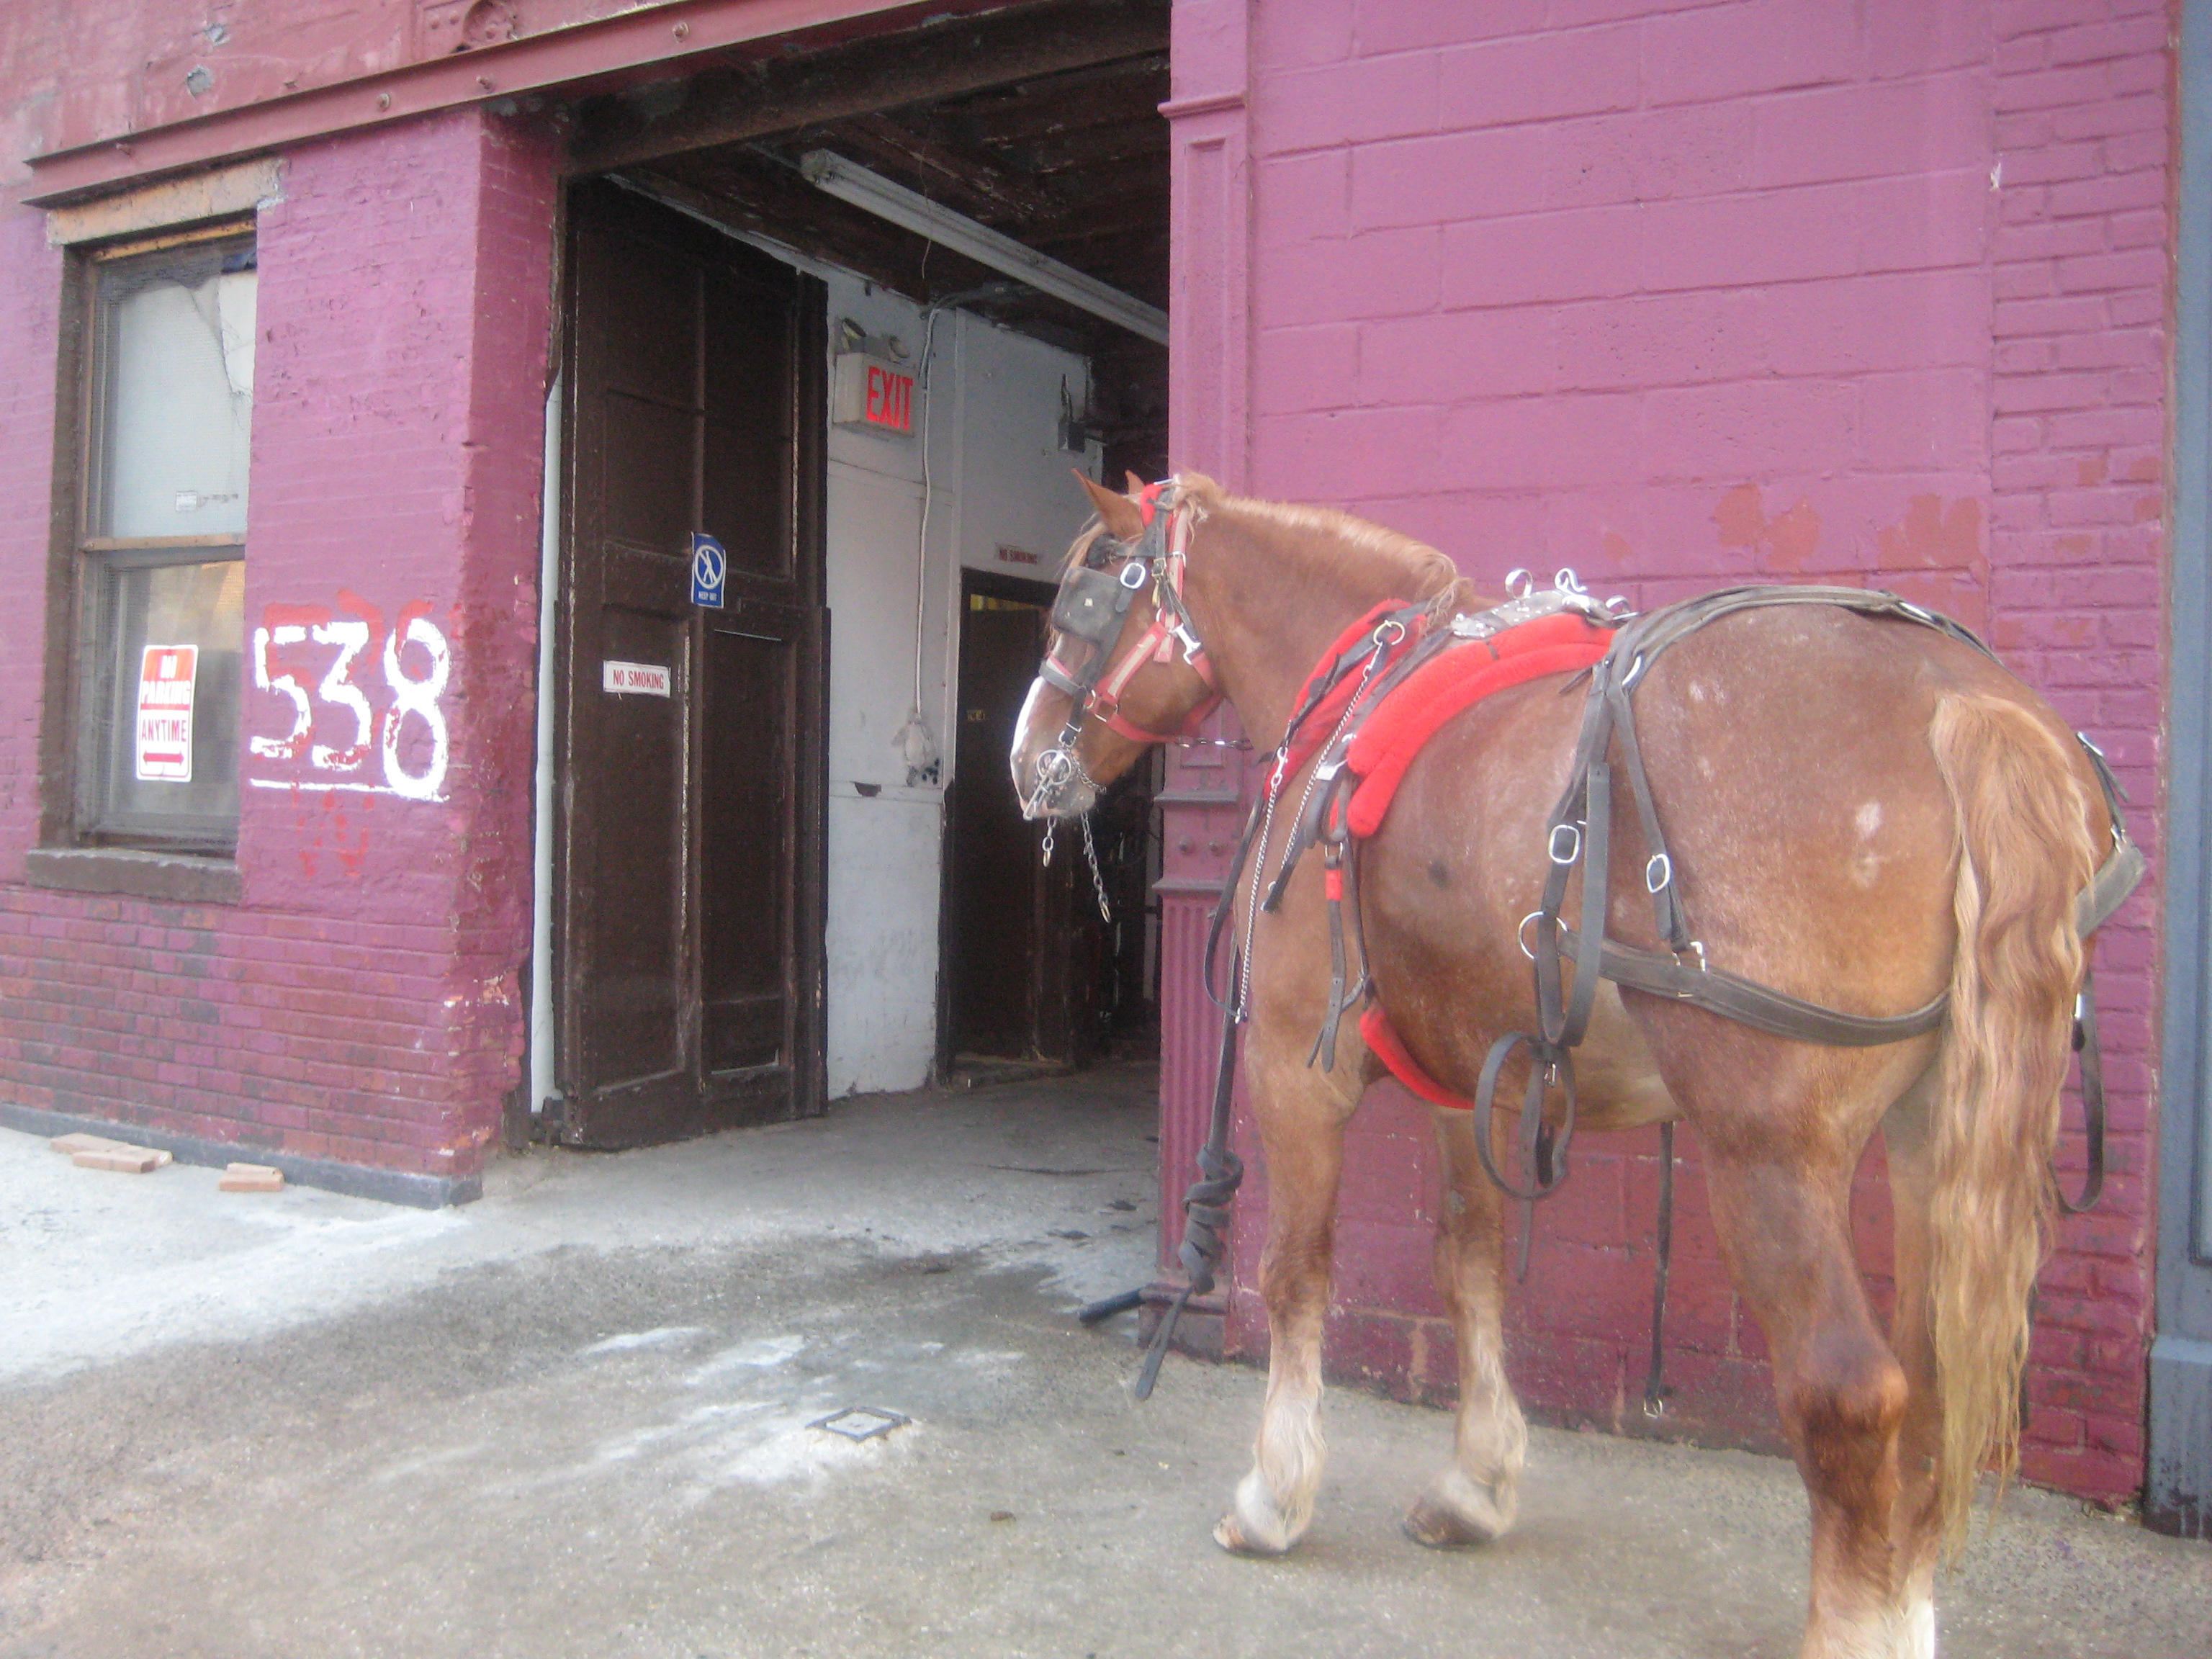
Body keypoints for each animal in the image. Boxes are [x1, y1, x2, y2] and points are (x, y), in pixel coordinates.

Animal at [1008, 471, 2128, 1659]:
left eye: (1082, 603)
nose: (1027, 759)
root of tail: (1965, 704)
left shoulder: (1292, 1068)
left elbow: (1295, 1273)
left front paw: (1277, 1495)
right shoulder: (1468, 1079)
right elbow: (1472, 1263)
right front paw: (1477, 1483)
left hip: (1768, 1147)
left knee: (1851, 1391)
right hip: (1931, 1128)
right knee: (1933, 1379)